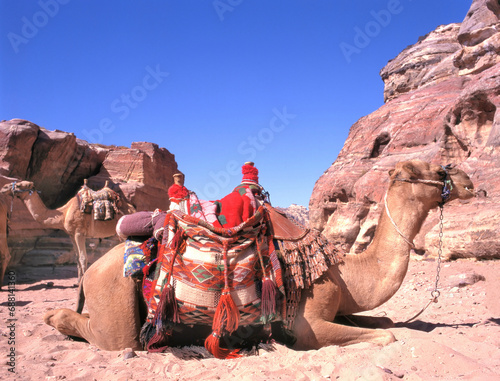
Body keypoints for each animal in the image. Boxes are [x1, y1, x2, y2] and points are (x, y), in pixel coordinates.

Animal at [42, 160, 472, 350]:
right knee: (110, 336)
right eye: (434, 170)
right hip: (115, 300)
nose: (469, 182)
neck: (343, 270)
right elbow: (386, 335)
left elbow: (384, 321)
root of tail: (93, 272)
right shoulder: (308, 323)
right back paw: (52, 318)